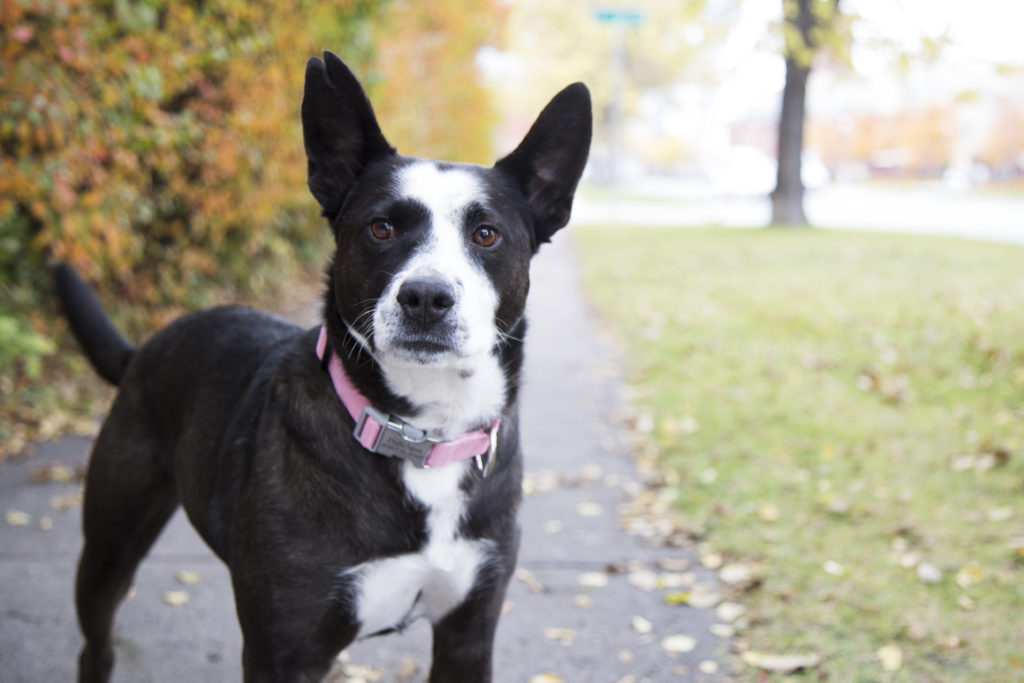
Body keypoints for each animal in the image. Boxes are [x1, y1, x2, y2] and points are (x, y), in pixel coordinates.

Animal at [56, 49, 593, 683]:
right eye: (381, 228)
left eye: (486, 235)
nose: (426, 298)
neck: (421, 434)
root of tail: (144, 349)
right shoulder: (283, 651)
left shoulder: (469, 635)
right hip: (109, 546)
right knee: (96, 641)